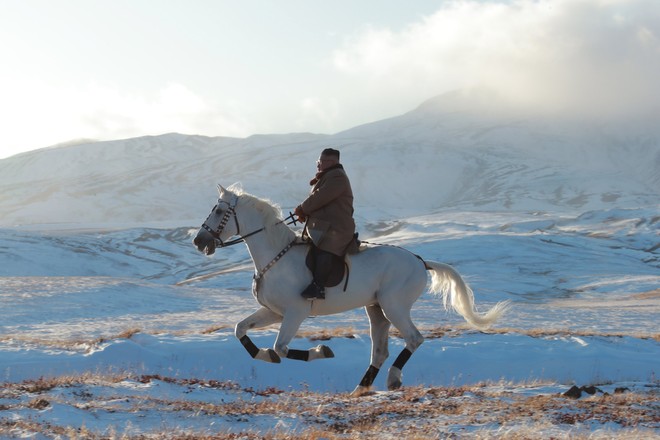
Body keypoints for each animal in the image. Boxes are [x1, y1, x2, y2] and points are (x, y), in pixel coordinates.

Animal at [193, 185, 508, 396]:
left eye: (219, 211)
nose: (199, 241)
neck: (276, 256)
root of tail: (420, 261)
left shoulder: (295, 313)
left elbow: (281, 347)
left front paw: (322, 350)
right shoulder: (273, 312)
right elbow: (240, 330)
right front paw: (264, 356)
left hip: (394, 306)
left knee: (414, 339)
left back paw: (393, 379)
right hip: (376, 309)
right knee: (380, 351)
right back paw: (360, 389)